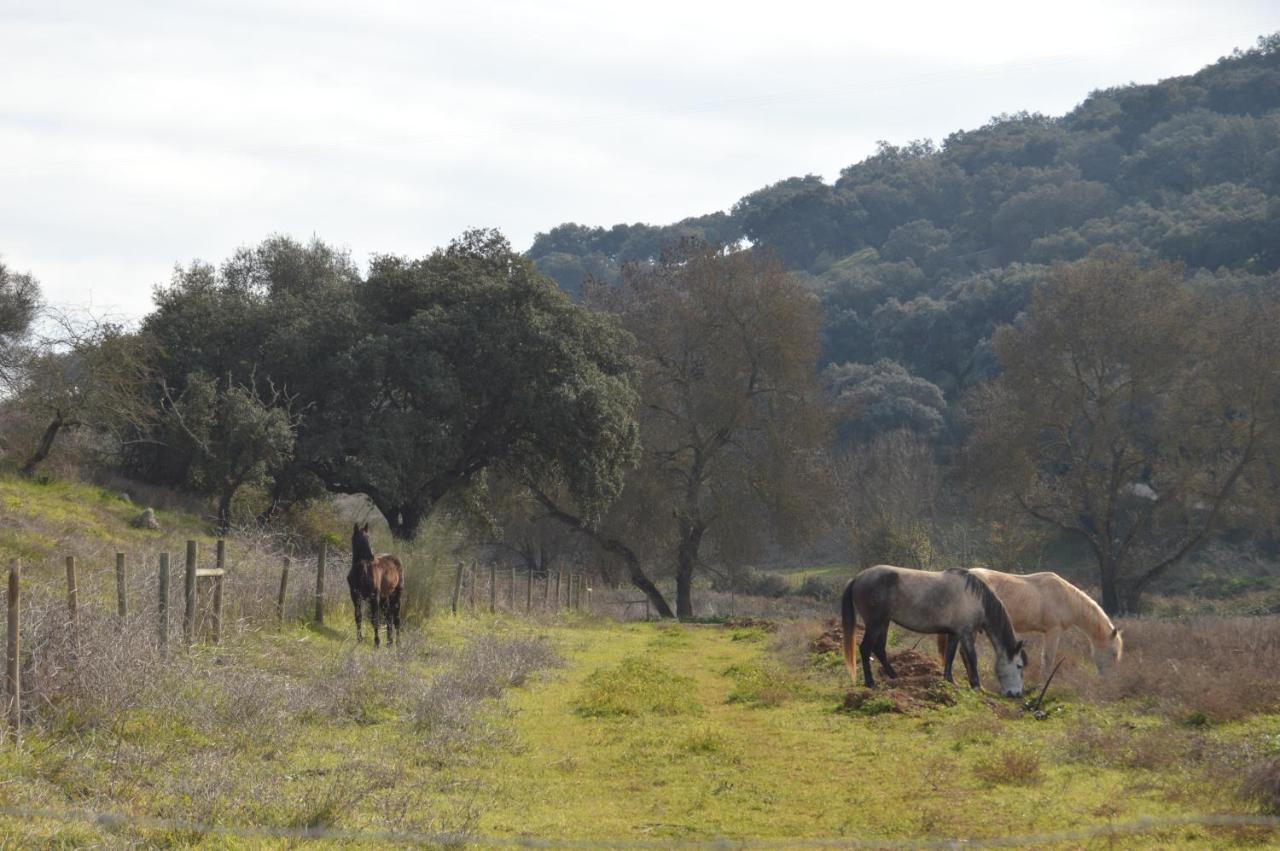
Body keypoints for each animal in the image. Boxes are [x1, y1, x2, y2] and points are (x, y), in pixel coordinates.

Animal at [839, 563, 1029, 696]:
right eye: (1019, 666)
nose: (1016, 694)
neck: (976, 598)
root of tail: (858, 578)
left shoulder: (954, 633)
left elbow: (950, 656)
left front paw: (950, 681)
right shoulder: (966, 633)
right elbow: (972, 657)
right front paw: (977, 685)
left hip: (883, 623)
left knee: (879, 649)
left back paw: (895, 677)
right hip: (875, 623)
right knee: (865, 649)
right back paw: (870, 682)